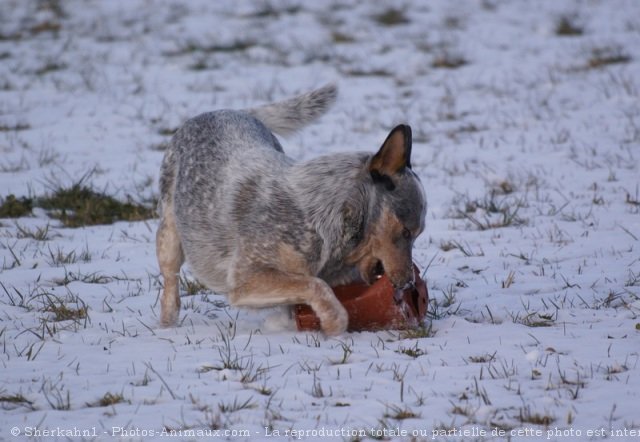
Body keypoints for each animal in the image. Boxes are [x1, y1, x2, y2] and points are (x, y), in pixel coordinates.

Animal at [155, 84, 424, 334]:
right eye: (406, 232)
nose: (408, 285)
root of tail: (227, 110)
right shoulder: (246, 280)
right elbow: (315, 284)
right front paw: (334, 324)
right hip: (169, 238)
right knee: (170, 285)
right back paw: (167, 325)